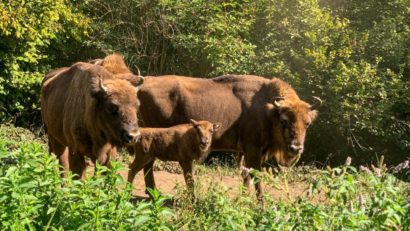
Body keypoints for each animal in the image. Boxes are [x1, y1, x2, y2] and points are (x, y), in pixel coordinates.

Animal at [138, 75, 320, 198]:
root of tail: (143, 85)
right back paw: (153, 193)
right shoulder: (253, 150)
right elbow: (256, 177)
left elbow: (246, 176)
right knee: (149, 164)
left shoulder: (251, 152)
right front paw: (260, 205)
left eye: (307, 123)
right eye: (284, 120)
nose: (296, 148)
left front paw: (244, 198)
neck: (268, 109)